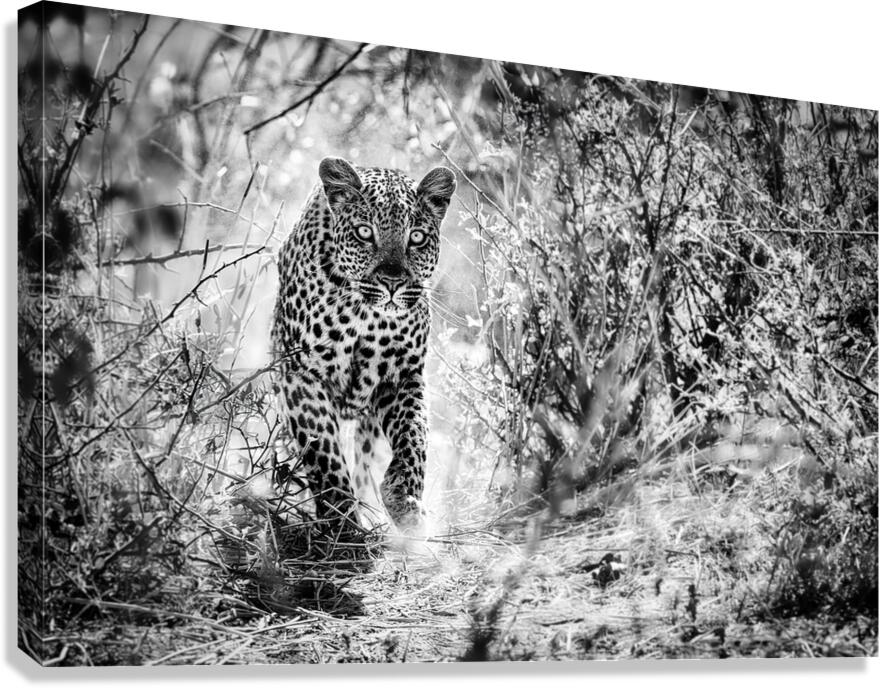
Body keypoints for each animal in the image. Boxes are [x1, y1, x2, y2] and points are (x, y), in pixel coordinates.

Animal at [270, 156, 456, 533]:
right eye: (364, 233)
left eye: (417, 237)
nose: (392, 283)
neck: (365, 315)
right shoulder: (301, 376)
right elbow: (323, 453)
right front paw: (342, 523)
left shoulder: (403, 375)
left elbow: (415, 437)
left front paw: (404, 500)